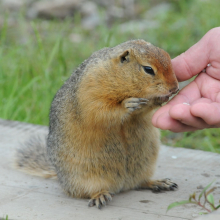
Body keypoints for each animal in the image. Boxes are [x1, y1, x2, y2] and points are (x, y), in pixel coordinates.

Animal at [15, 39, 179, 208]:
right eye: (148, 69)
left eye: (169, 58)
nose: (175, 88)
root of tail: (122, 184)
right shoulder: (91, 89)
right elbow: (99, 111)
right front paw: (127, 104)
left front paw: (159, 99)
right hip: (85, 178)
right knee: (90, 191)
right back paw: (100, 196)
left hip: (144, 166)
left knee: (140, 182)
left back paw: (159, 182)